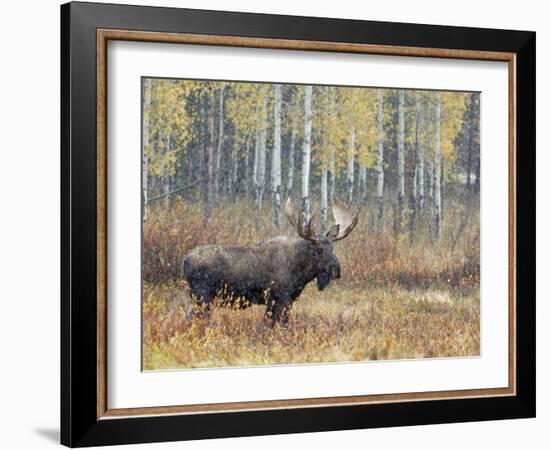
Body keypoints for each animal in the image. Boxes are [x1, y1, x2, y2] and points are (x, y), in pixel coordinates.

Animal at [183, 201, 360, 326]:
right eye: (319, 250)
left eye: (332, 248)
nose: (336, 269)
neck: (302, 274)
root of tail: (185, 260)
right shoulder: (280, 297)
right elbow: (281, 325)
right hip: (202, 295)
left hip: (197, 297)